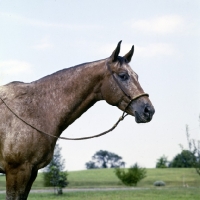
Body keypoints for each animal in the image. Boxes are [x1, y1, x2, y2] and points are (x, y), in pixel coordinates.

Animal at [0, 41, 155, 199]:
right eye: (123, 75)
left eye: (136, 76)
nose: (148, 110)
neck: (35, 109)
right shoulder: (17, 171)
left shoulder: (32, 172)